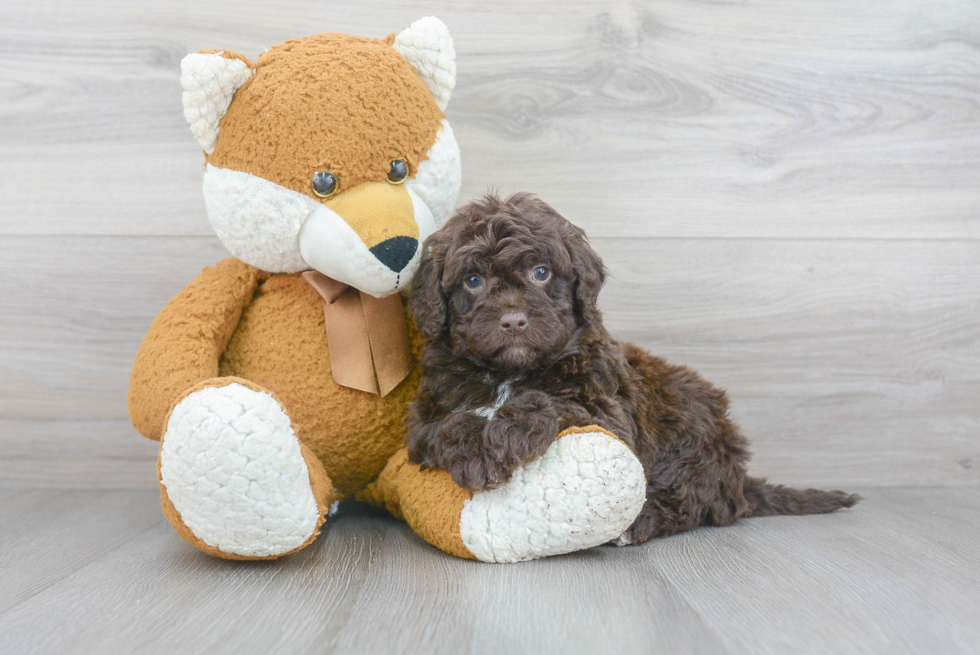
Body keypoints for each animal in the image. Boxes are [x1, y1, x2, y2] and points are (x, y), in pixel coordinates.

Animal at [406, 192, 856, 544]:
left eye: (541, 273)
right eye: (473, 281)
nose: (513, 321)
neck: (510, 373)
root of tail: (736, 474)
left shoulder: (609, 413)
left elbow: (551, 403)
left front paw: (503, 437)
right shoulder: (423, 418)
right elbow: (448, 425)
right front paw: (474, 451)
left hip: (689, 431)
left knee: (696, 501)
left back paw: (637, 524)